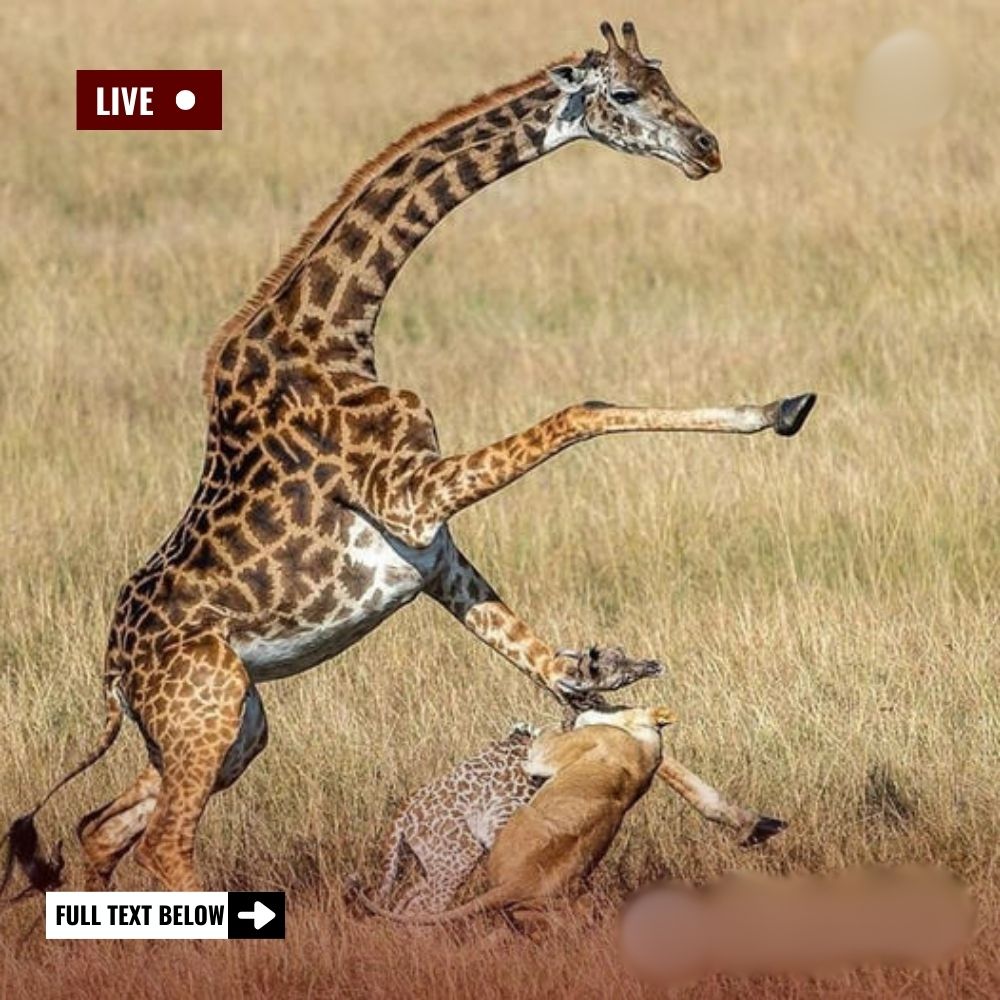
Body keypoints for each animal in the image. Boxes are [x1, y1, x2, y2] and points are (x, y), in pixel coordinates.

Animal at [1, 21, 812, 900]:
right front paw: (775, 410)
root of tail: (111, 670)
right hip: (203, 712)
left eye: (666, 78)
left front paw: (742, 817)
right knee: (163, 843)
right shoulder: (411, 500)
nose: (707, 148)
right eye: (625, 93)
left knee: (101, 825)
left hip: (232, 724)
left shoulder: (435, 557)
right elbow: (581, 411)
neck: (338, 329)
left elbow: (556, 675)